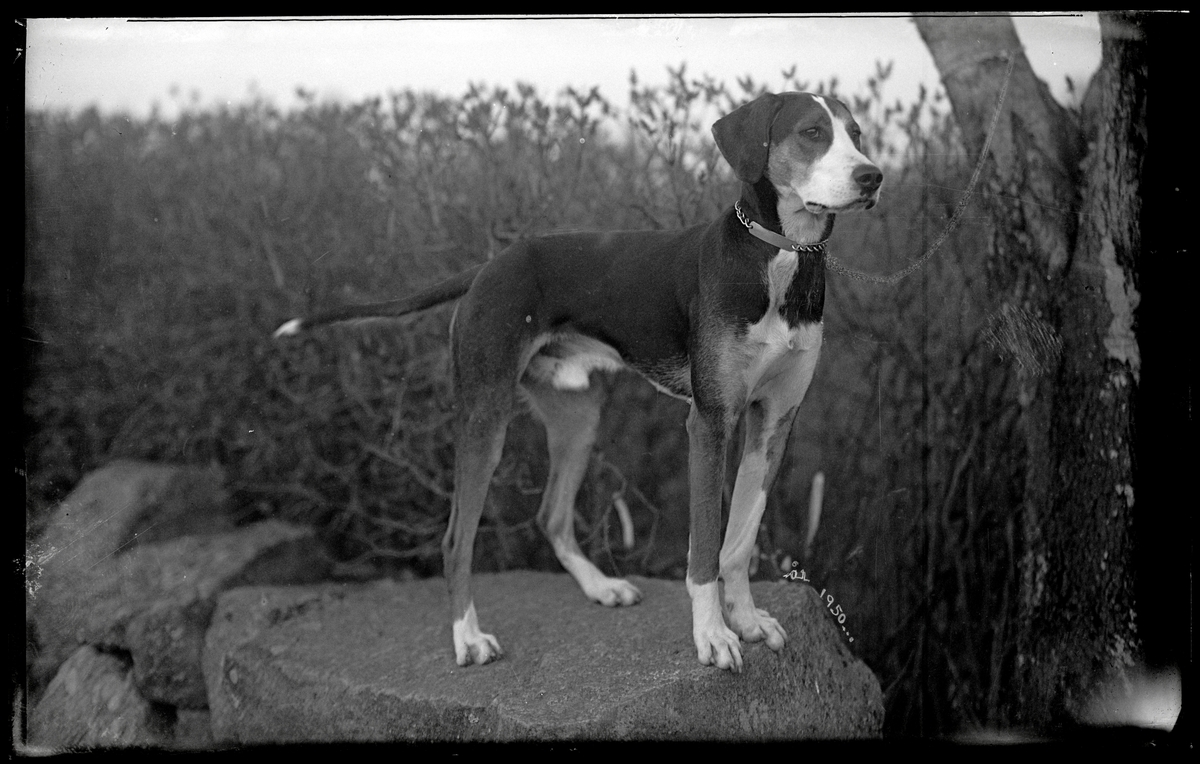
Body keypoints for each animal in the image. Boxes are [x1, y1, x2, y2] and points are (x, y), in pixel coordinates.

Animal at [275, 91, 882, 672]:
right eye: (811, 132)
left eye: (856, 134)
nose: (873, 176)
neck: (778, 258)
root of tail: (488, 268)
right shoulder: (710, 422)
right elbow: (706, 549)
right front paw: (712, 636)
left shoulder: (773, 422)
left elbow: (739, 540)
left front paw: (748, 621)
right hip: (485, 418)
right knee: (455, 540)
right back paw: (468, 638)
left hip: (578, 419)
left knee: (552, 515)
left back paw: (600, 587)